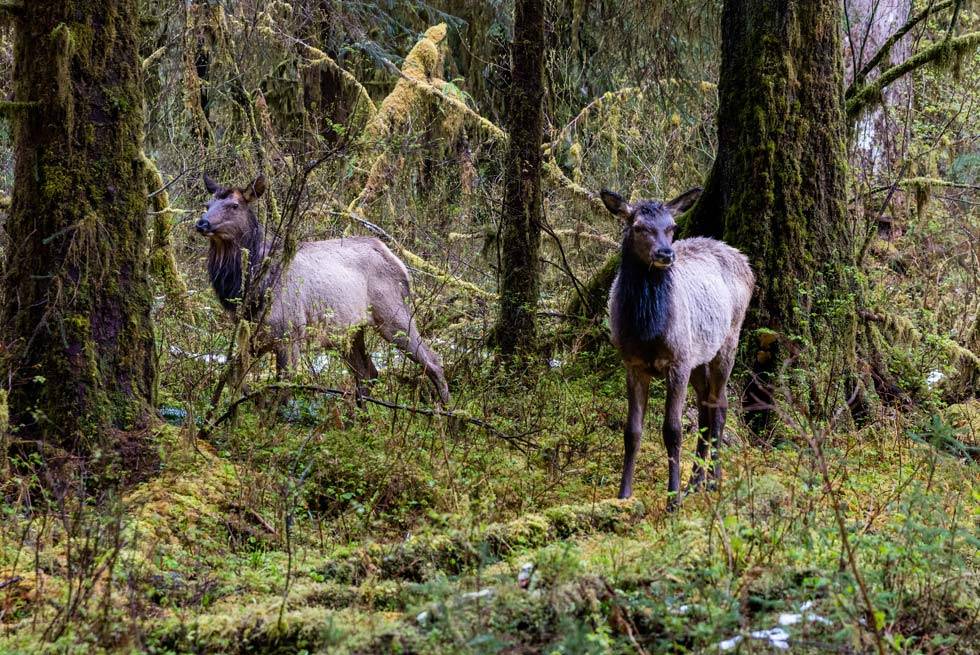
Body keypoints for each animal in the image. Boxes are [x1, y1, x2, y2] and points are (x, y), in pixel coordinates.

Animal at [192, 172, 452, 402]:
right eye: (207, 203)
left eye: (234, 205)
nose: (202, 223)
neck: (250, 287)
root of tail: (398, 262)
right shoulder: (251, 335)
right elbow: (236, 380)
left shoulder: (290, 330)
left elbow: (284, 389)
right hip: (350, 330)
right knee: (368, 373)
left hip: (393, 314)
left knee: (434, 361)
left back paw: (447, 415)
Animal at [600, 187, 756, 510]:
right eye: (638, 227)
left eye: (672, 227)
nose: (665, 254)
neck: (648, 330)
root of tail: (743, 259)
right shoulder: (633, 364)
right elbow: (632, 431)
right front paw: (624, 494)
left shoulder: (678, 362)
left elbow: (672, 430)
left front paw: (672, 500)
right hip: (698, 357)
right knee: (708, 407)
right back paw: (695, 481)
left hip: (728, 341)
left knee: (719, 406)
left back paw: (713, 480)